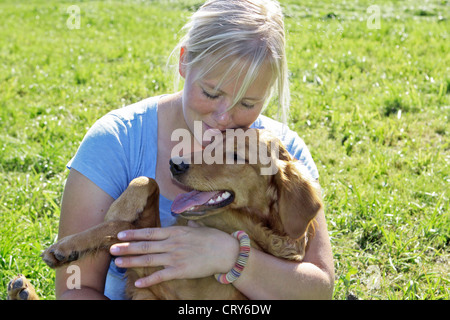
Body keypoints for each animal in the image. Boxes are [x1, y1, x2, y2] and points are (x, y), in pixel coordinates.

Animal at [7, 129, 324, 298]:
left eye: (236, 156)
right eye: (210, 144)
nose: (175, 163)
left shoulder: (161, 283)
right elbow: (146, 183)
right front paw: (74, 243)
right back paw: (22, 291)